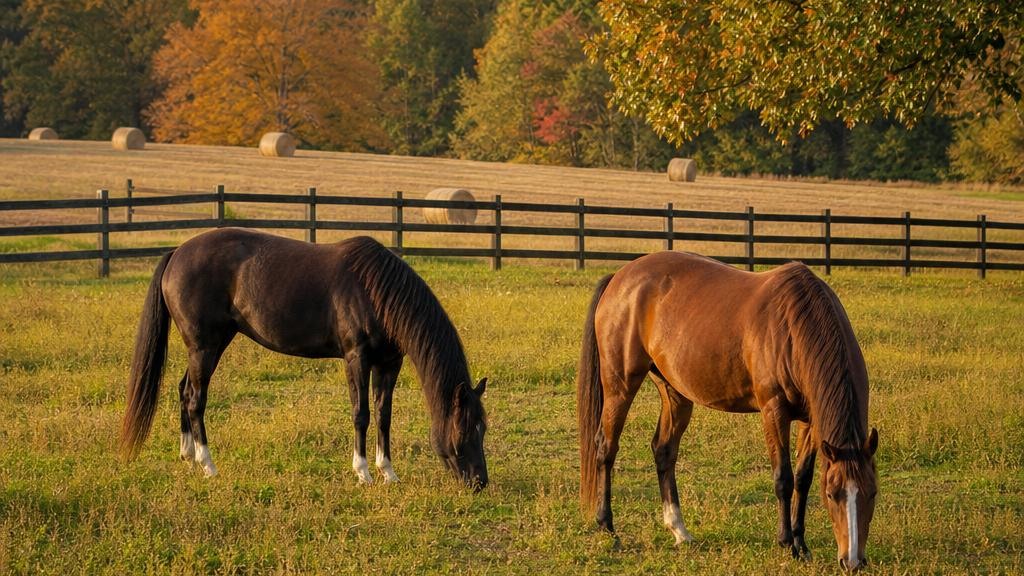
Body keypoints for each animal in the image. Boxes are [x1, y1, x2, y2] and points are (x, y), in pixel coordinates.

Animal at [121, 228, 488, 490]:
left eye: (483, 429)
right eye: (466, 429)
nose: (479, 483)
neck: (375, 292)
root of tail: (177, 253)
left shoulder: (389, 362)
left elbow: (384, 415)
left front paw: (388, 472)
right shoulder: (356, 358)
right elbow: (362, 414)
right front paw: (363, 473)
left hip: (208, 344)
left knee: (184, 390)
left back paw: (188, 455)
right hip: (204, 345)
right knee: (196, 399)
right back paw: (208, 465)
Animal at [578, 251, 878, 570]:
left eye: (872, 493)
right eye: (833, 495)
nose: (853, 561)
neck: (793, 327)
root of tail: (620, 276)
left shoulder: (810, 420)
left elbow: (803, 478)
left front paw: (802, 544)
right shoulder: (774, 411)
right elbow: (783, 478)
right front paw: (787, 544)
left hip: (674, 391)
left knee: (664, 450)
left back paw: (679, 529)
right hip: (620, 384)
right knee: (606, 448)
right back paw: (607, 526)